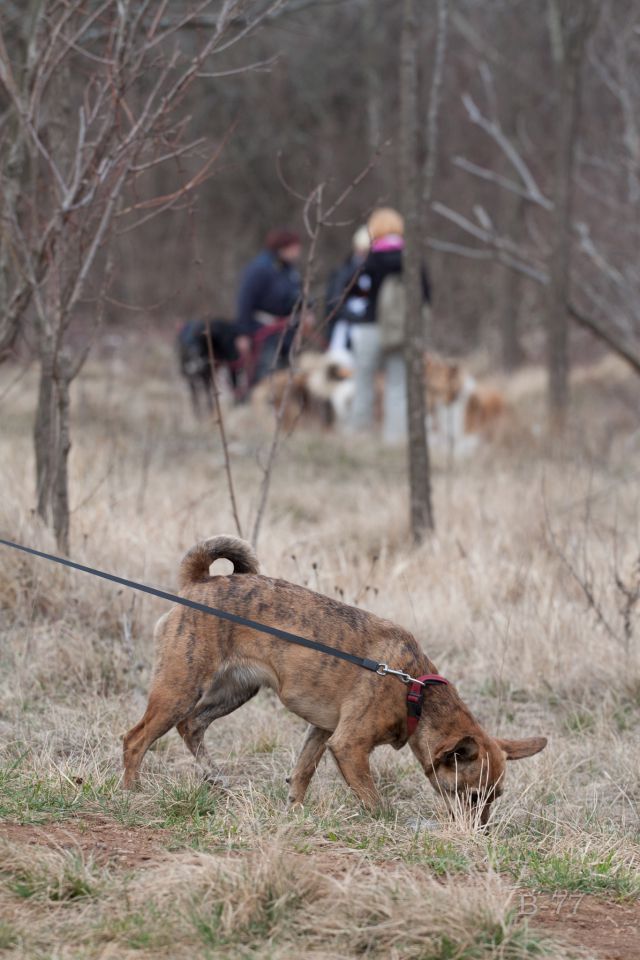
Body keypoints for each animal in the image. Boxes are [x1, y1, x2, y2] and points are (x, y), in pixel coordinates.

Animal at [124, 536, 544, 820]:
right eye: (472, 796)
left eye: (495, 798)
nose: (479, 834)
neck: (414, 690)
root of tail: (199, 583)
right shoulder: (349, 746)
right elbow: (375, 801)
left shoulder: (322, 731)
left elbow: (302, 773)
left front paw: (293, 813)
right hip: (179, 687)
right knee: (136, 739)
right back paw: (131, 791)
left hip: (236, 690)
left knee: (191, 726)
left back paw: (213, 777)